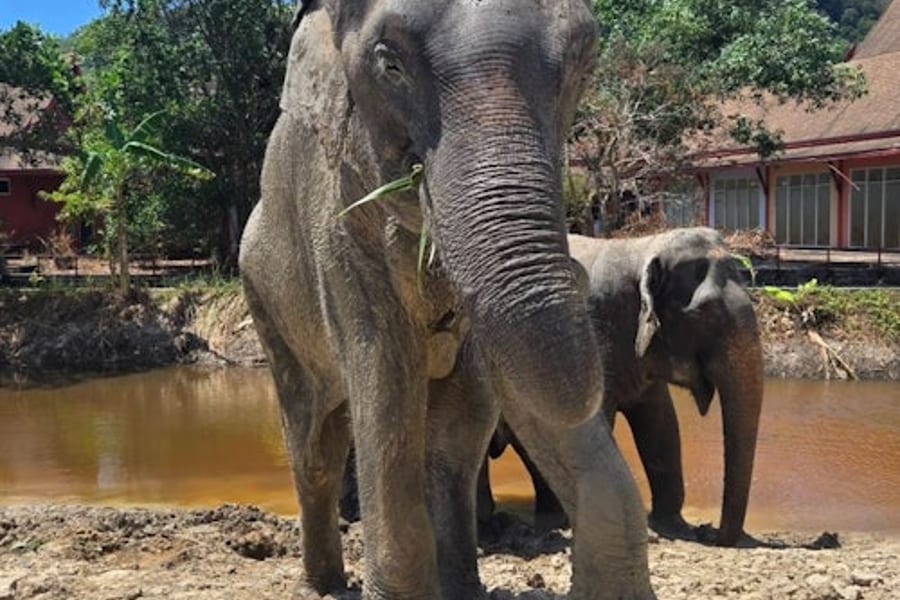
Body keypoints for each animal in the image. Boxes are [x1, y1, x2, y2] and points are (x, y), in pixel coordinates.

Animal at [239, 1, 654, 599]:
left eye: (584, 62)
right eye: (389, 65)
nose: (576, 268)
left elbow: (485, 395)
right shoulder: (338, 230)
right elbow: (387, 380)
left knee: (452, 442)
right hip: (265, 300)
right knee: (315, 445)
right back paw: (324, 585)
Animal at [480, 227, 764, 547]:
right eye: (705, 313)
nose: (710, 531)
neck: (639, 248)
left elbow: (662, 427)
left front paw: (674, 527)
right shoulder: (591, 336)